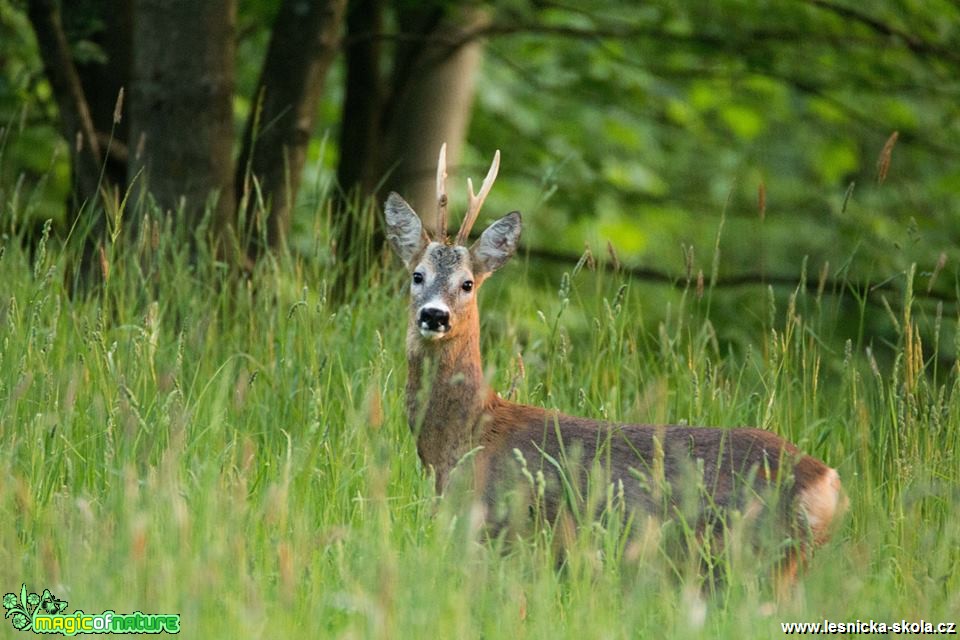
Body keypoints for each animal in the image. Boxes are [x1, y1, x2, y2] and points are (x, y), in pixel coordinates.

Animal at [384, 144, 848, 584]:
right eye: (417, 275)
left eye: (467, 283)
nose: (435, 315)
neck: (466, 437)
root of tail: (829, 482)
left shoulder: (501, 531)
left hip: (758, 556)